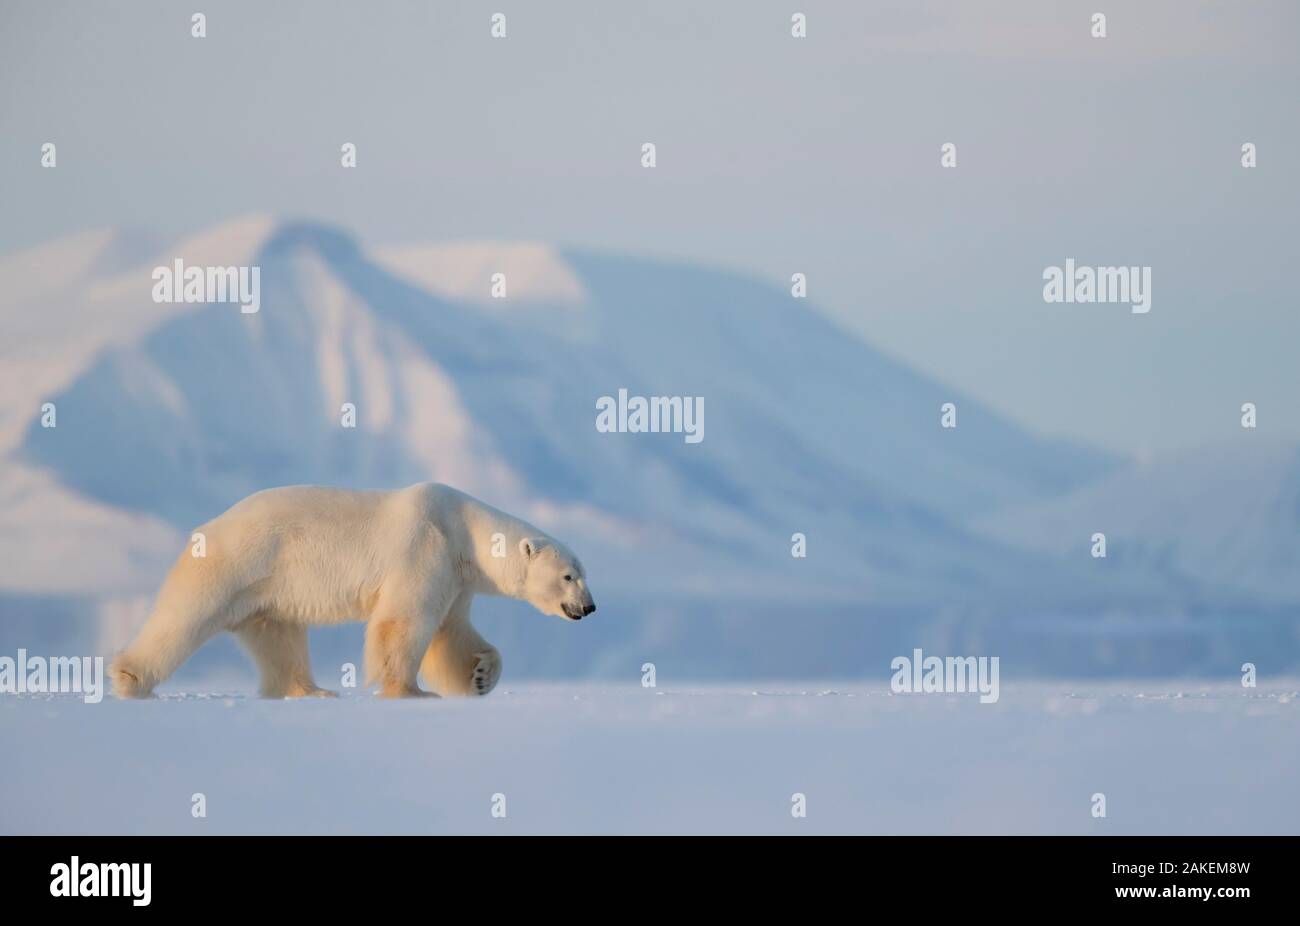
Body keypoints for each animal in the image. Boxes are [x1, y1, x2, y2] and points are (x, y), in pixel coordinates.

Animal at [108, 483, 596, 699]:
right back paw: (130, 680)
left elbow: (451, 634)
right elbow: (404, 621)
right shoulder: (425, 547)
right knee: (183, 617)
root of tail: (206, 528)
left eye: (581, 571)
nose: (589, 607)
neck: (462, 530)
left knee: (279, 638)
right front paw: (410, 691)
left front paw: (479, 675)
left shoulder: (456, 579)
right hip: (234, 564)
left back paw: (311, 691)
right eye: (569, 576)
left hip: (266, 593)